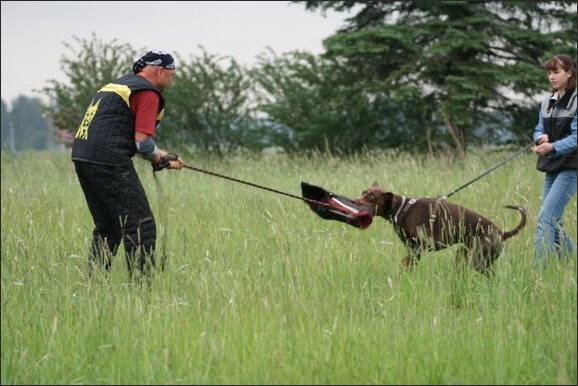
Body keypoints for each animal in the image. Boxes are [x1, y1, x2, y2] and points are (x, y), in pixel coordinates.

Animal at [354, 182, 524, 274]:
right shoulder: (412, 249)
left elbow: (405, 264)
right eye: (363, 192)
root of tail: (501, 233)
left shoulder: (417, 248)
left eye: (371, 197)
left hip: (476, 260)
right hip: (463, 255)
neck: (401, 208)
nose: (354, 201)